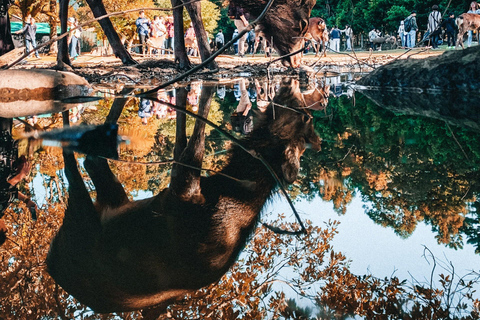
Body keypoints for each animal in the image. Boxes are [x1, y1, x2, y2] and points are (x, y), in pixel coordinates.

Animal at [46, 79, 322, 314]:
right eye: (307, 118)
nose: (293, 84)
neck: (232, 185)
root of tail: (50, 263)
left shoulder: (182, 187)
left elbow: (195, 142)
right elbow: (184, 138)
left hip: (83, 224)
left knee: (78, 165)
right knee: (93, 159)